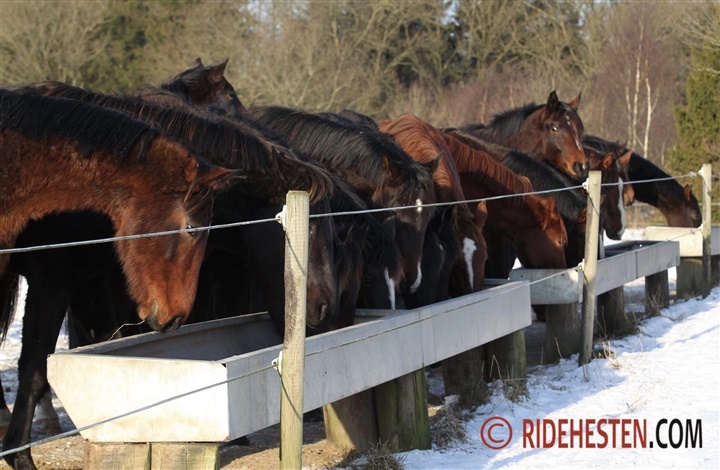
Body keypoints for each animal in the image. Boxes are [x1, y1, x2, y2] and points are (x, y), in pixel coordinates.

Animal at [0, 90, 236, 468]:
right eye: (192, 228)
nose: (176, 316)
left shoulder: (90, 283)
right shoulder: (52, 282)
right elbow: (35, 371)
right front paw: (20, 456)